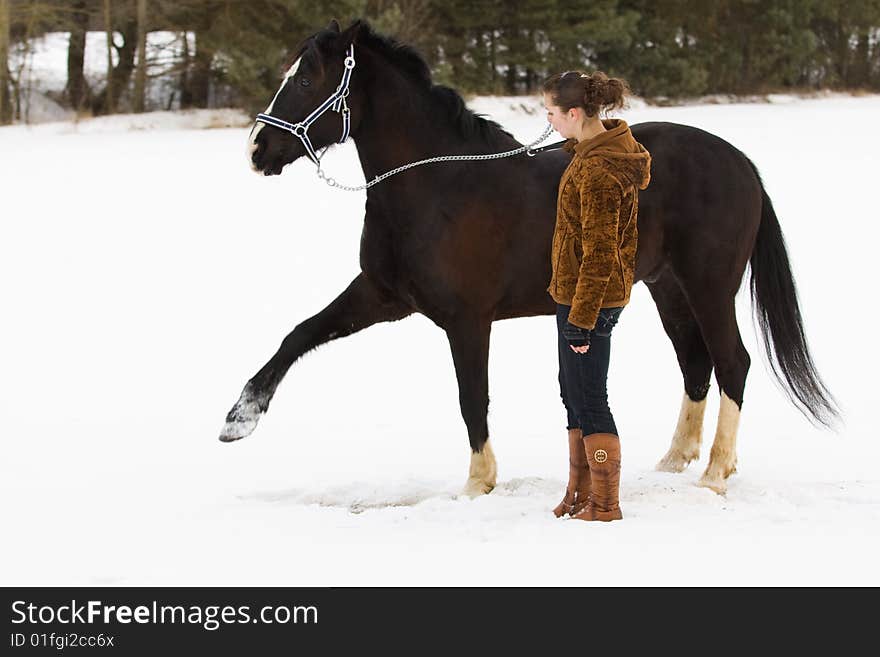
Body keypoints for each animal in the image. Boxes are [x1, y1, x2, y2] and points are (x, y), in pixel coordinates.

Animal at [222, 18, 840, 494]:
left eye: (308, 78)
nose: (256, 149)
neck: (437, 186)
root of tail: (741, 163)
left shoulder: (467, 320)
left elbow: (473, 397)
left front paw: (479, 482)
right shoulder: (382, 296)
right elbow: (299, 334)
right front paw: (238, 419)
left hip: (709, 286)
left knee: (733, 362)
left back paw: (714, 473)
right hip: (668, 287)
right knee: (696, 363)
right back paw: (672, 461)